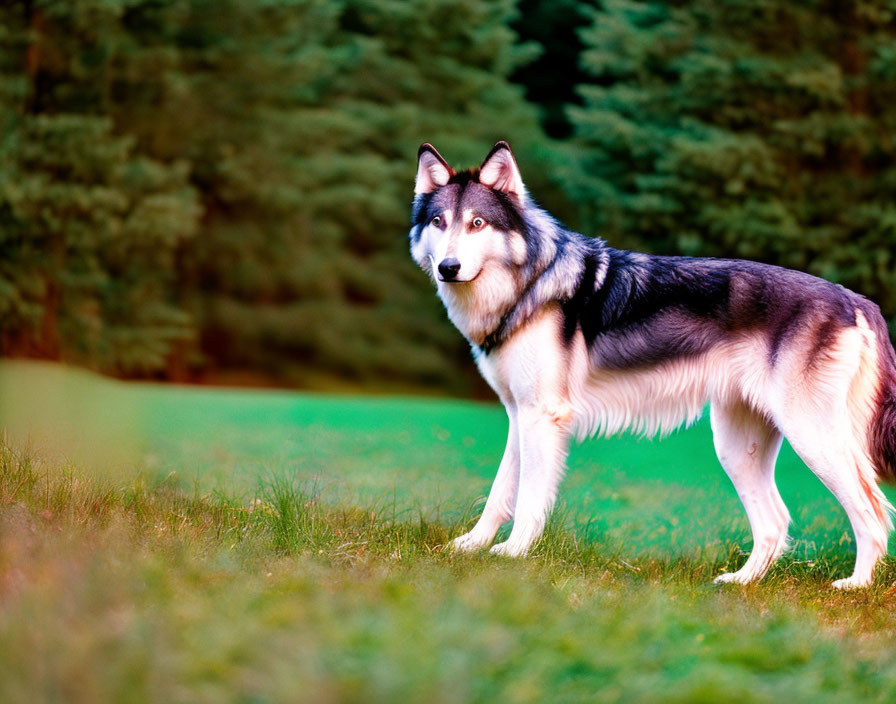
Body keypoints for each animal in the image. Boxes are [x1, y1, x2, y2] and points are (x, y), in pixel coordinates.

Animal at [406, 139, 896, 588]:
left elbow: (528, 499)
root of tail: (854, 298)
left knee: (872, 511)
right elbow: (499, 494)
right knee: (776, 523)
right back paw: (740, 582)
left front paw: (513, 554)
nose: (449, 267)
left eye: (477, 223)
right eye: (438, 222)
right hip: (737, 448)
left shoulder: (541, 417)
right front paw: (470, 548)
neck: (529, 283)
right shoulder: (519, 416)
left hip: (812, 439)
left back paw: (855, 586)